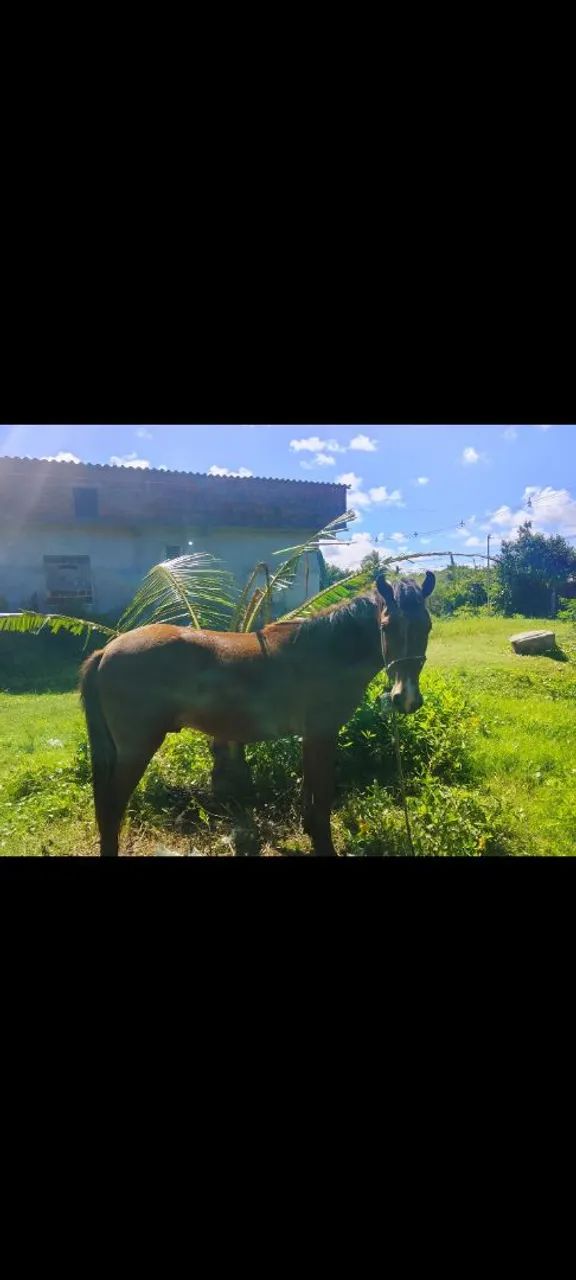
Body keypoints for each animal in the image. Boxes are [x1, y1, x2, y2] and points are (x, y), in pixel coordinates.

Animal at [80, 571, 435, 856]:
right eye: (387, 627)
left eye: (427, 626)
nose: (406, 699)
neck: (325, 651)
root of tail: (105, 651)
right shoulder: (322, 734)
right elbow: (322, 796)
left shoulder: (310, 738)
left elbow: (309, 792)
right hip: (136, 750)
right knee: (110, 809)